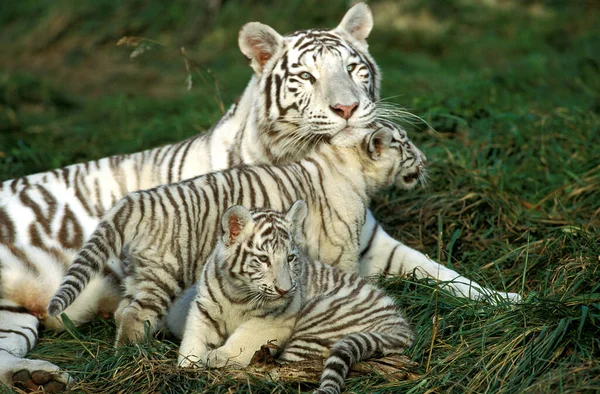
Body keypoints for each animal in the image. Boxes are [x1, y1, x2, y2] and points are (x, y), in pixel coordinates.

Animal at [48, 124, 422, 348]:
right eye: (405, 146)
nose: (424, 159)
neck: (346, 165)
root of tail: (135, 199)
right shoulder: (342, 250)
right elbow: (347, 281)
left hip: (140, 272)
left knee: (123, 310)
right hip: (165, 273)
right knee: (133, 315)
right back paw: (133, 353)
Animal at [176, 203, 414, 394]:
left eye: (290, 258)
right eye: (264, 259)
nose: (285, 290)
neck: (239, 293)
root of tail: (400, 323)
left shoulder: (272, 322)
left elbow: (243, 341)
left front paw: (219, 357)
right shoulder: (204, 309)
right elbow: (194, 338)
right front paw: (188, 365)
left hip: (319, 317)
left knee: (289, 367)